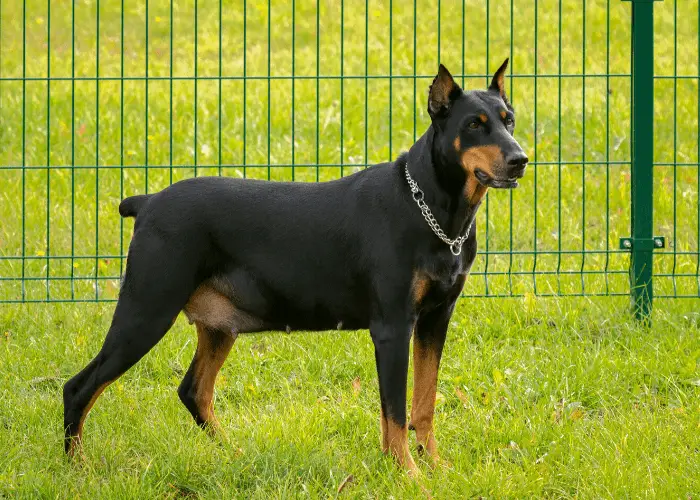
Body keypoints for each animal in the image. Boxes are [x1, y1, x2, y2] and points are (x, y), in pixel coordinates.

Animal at [64, 60, 524, 470]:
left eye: (510, 120)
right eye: (474, 124)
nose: (520, 159)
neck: (433, 210)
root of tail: (147, 203)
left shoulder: (435, 319)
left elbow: (424, 403)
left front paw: (436, 467)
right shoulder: (392, 328)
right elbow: (393, 415)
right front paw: (409, 475)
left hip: (218, 326)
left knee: (194, 391)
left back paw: (235, 455)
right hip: (147, 310)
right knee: (79, 387)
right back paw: (77, 466)